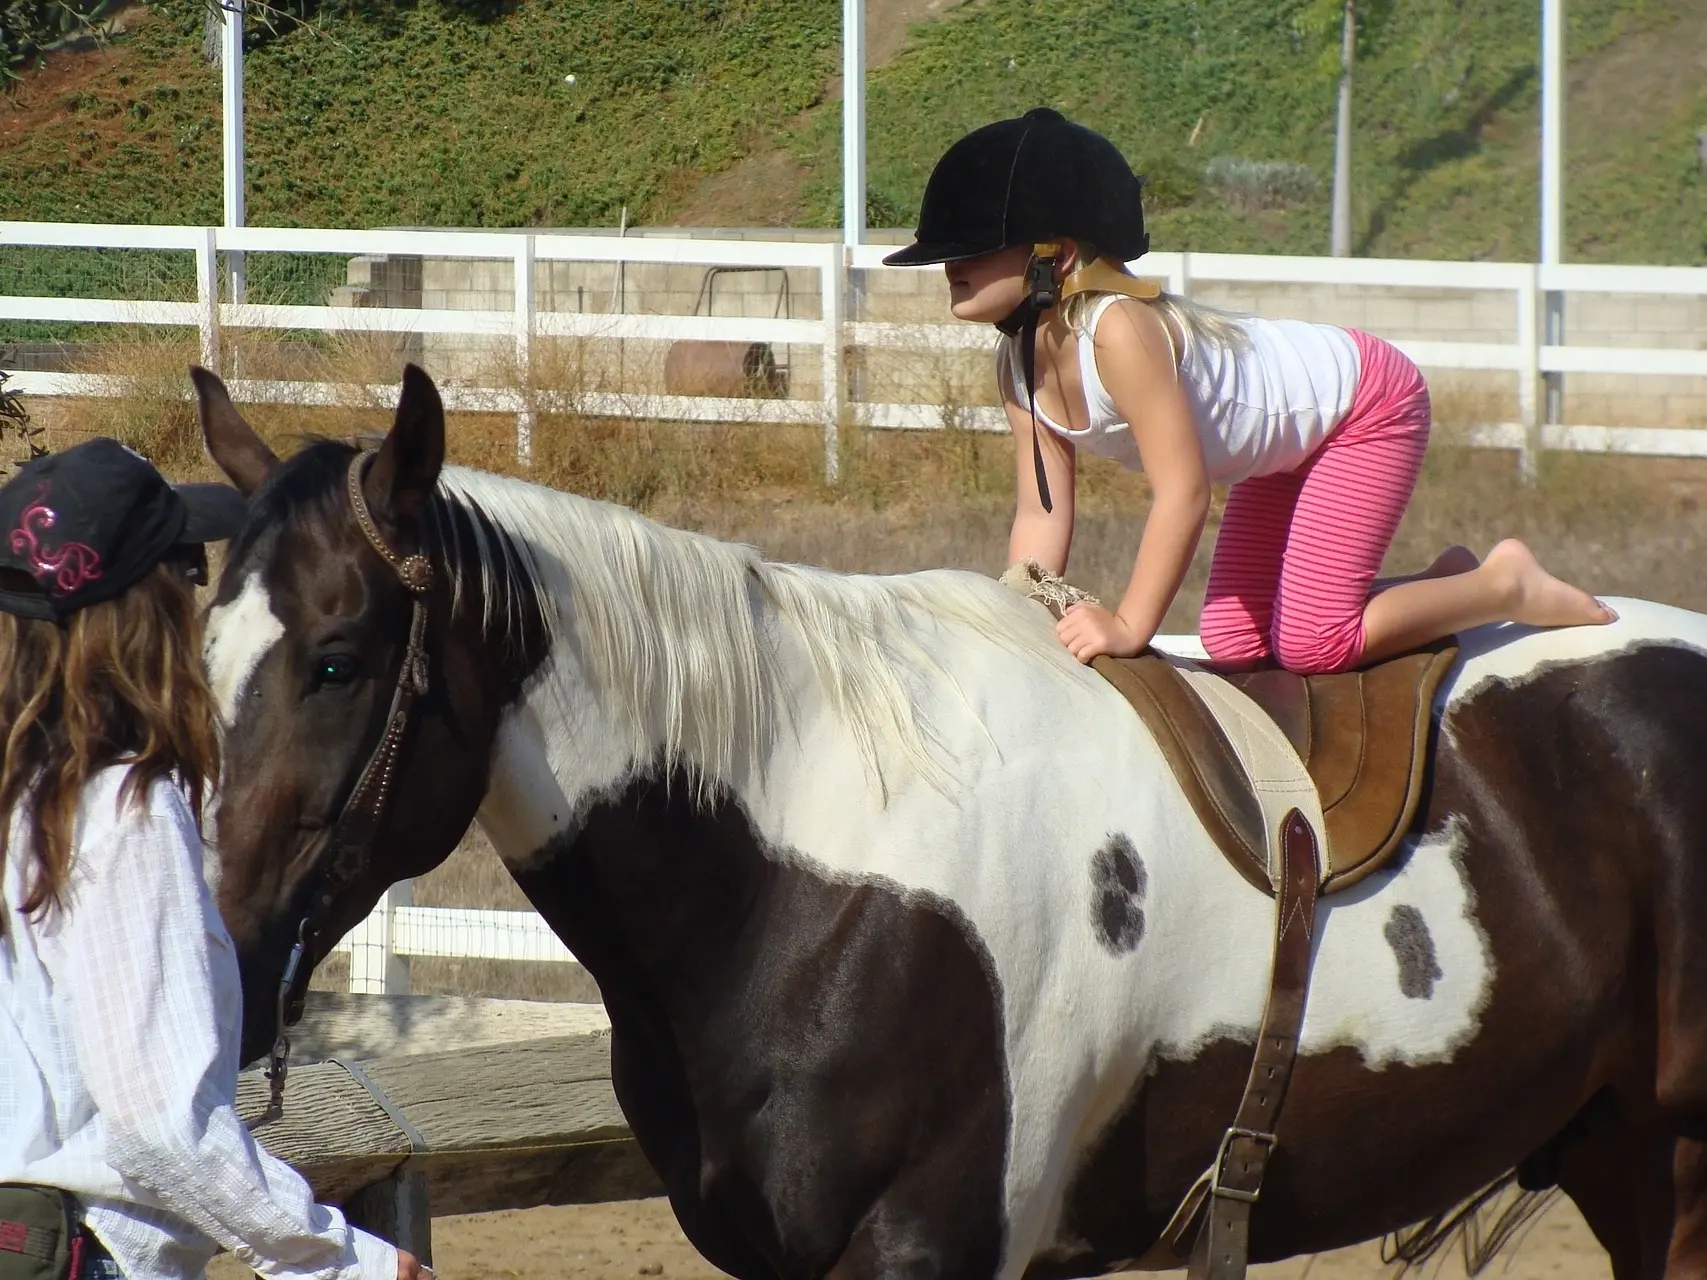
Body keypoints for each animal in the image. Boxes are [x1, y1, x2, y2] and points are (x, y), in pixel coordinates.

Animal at [203, 363, 1707, 1280]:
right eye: (205, 651)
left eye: (335, 660)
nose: (226, 959)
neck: (807, 863)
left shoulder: (929, 1240)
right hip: (1618, 1148)